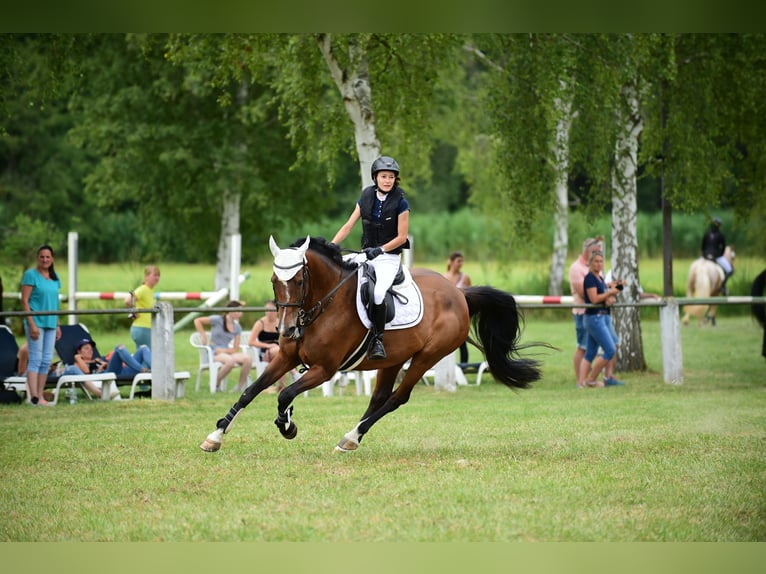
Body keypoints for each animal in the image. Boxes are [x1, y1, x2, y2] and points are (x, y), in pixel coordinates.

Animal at [198, 236, 544, 456]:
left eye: (297, 280)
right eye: (274, 281)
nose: (286, 328)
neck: (320, 305)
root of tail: (459, 294)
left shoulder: (325, 369)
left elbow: (284, 394)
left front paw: (287, 425)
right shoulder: (285, 357)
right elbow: (251, 391)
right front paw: (215, 436)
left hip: (427, 357)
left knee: (397, 398)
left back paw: (351, 437)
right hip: (393, 359)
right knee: (379, 398)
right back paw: (352, 438)